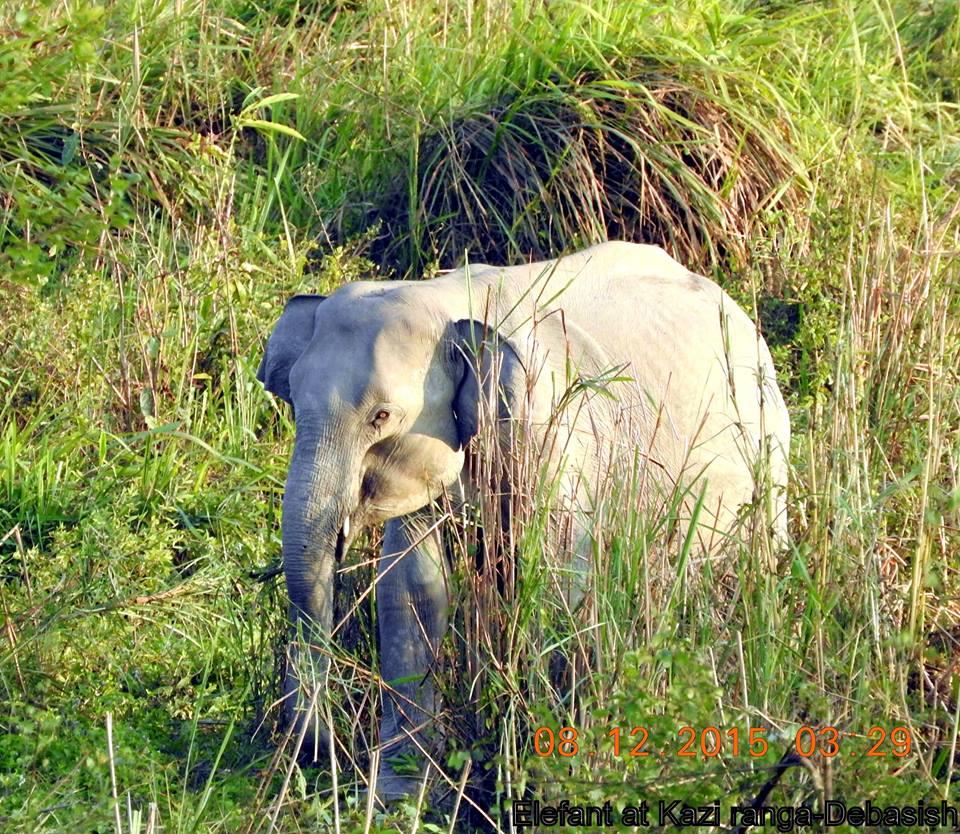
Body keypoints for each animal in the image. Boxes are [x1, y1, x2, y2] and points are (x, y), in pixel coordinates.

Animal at [255, 237, 788, 796]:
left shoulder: (552, 430)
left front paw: (547, 765)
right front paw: (400, 789)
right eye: (293, 406)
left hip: (768, 445)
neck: (445, 300)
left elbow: (559, 577)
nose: (318, 751)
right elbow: (414, 584)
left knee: (752, 571)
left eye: (381, 416)